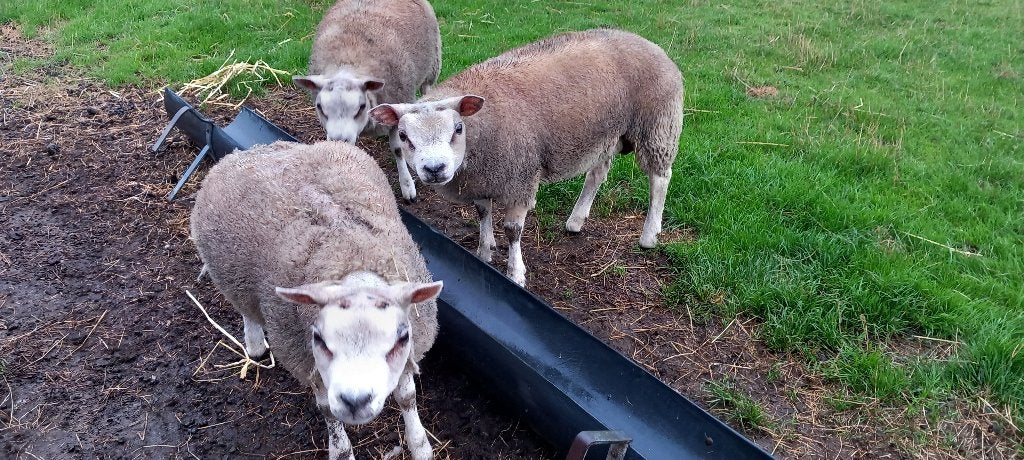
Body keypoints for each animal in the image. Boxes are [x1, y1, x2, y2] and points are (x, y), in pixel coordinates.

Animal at [190, 140, 441, 460]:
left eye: (401, 337)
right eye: (320, 338)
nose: (356, 400)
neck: (352, 257)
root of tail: (252, 150)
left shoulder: (409, 349)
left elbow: (407, 396)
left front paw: (420, 445)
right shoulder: (310, 362)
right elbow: (328, 412)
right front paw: (341, 450)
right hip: (232, 275)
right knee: (247, 309)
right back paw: (255, 345)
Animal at [293, 0, 442, 202]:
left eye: (361, 107)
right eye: (320, 107)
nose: (339, 140)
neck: (348, 65)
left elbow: (398, 149)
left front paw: (407, 186)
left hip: (433, 64)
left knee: (427, 87)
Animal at [370, 28, 684, 286]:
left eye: (458, 128)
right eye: (404, 136)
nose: (434, 168)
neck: (480, 130)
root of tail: (649, 43)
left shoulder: (519, 179)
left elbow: (513, 230)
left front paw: (515, 272)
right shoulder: (484, 177)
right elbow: (482, 212)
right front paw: (484, 250)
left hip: (658, 124)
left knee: (660, 177)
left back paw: (649, 235)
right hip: (606, 134)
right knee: (597, 174)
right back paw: (576, 220)